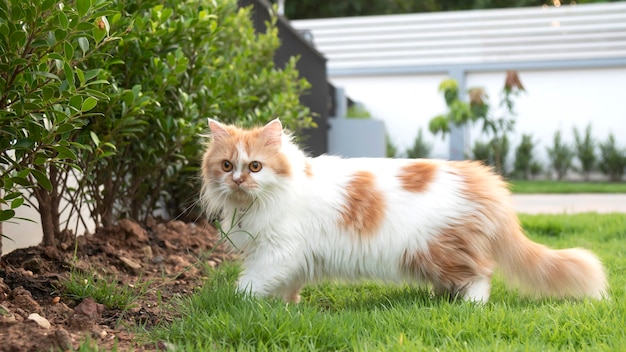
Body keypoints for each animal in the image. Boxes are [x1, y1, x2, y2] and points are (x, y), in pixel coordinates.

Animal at [200, 118, 604, 302]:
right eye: (226, 165)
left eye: (255, 167)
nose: (238, 180)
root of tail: (481, 176)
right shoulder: (285, 257)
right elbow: (284, 287)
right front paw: (286, 308)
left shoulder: (278, 250)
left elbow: (249, 284)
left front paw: (236, 303)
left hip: (437, 249)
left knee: (482, 275)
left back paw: (469, 306)